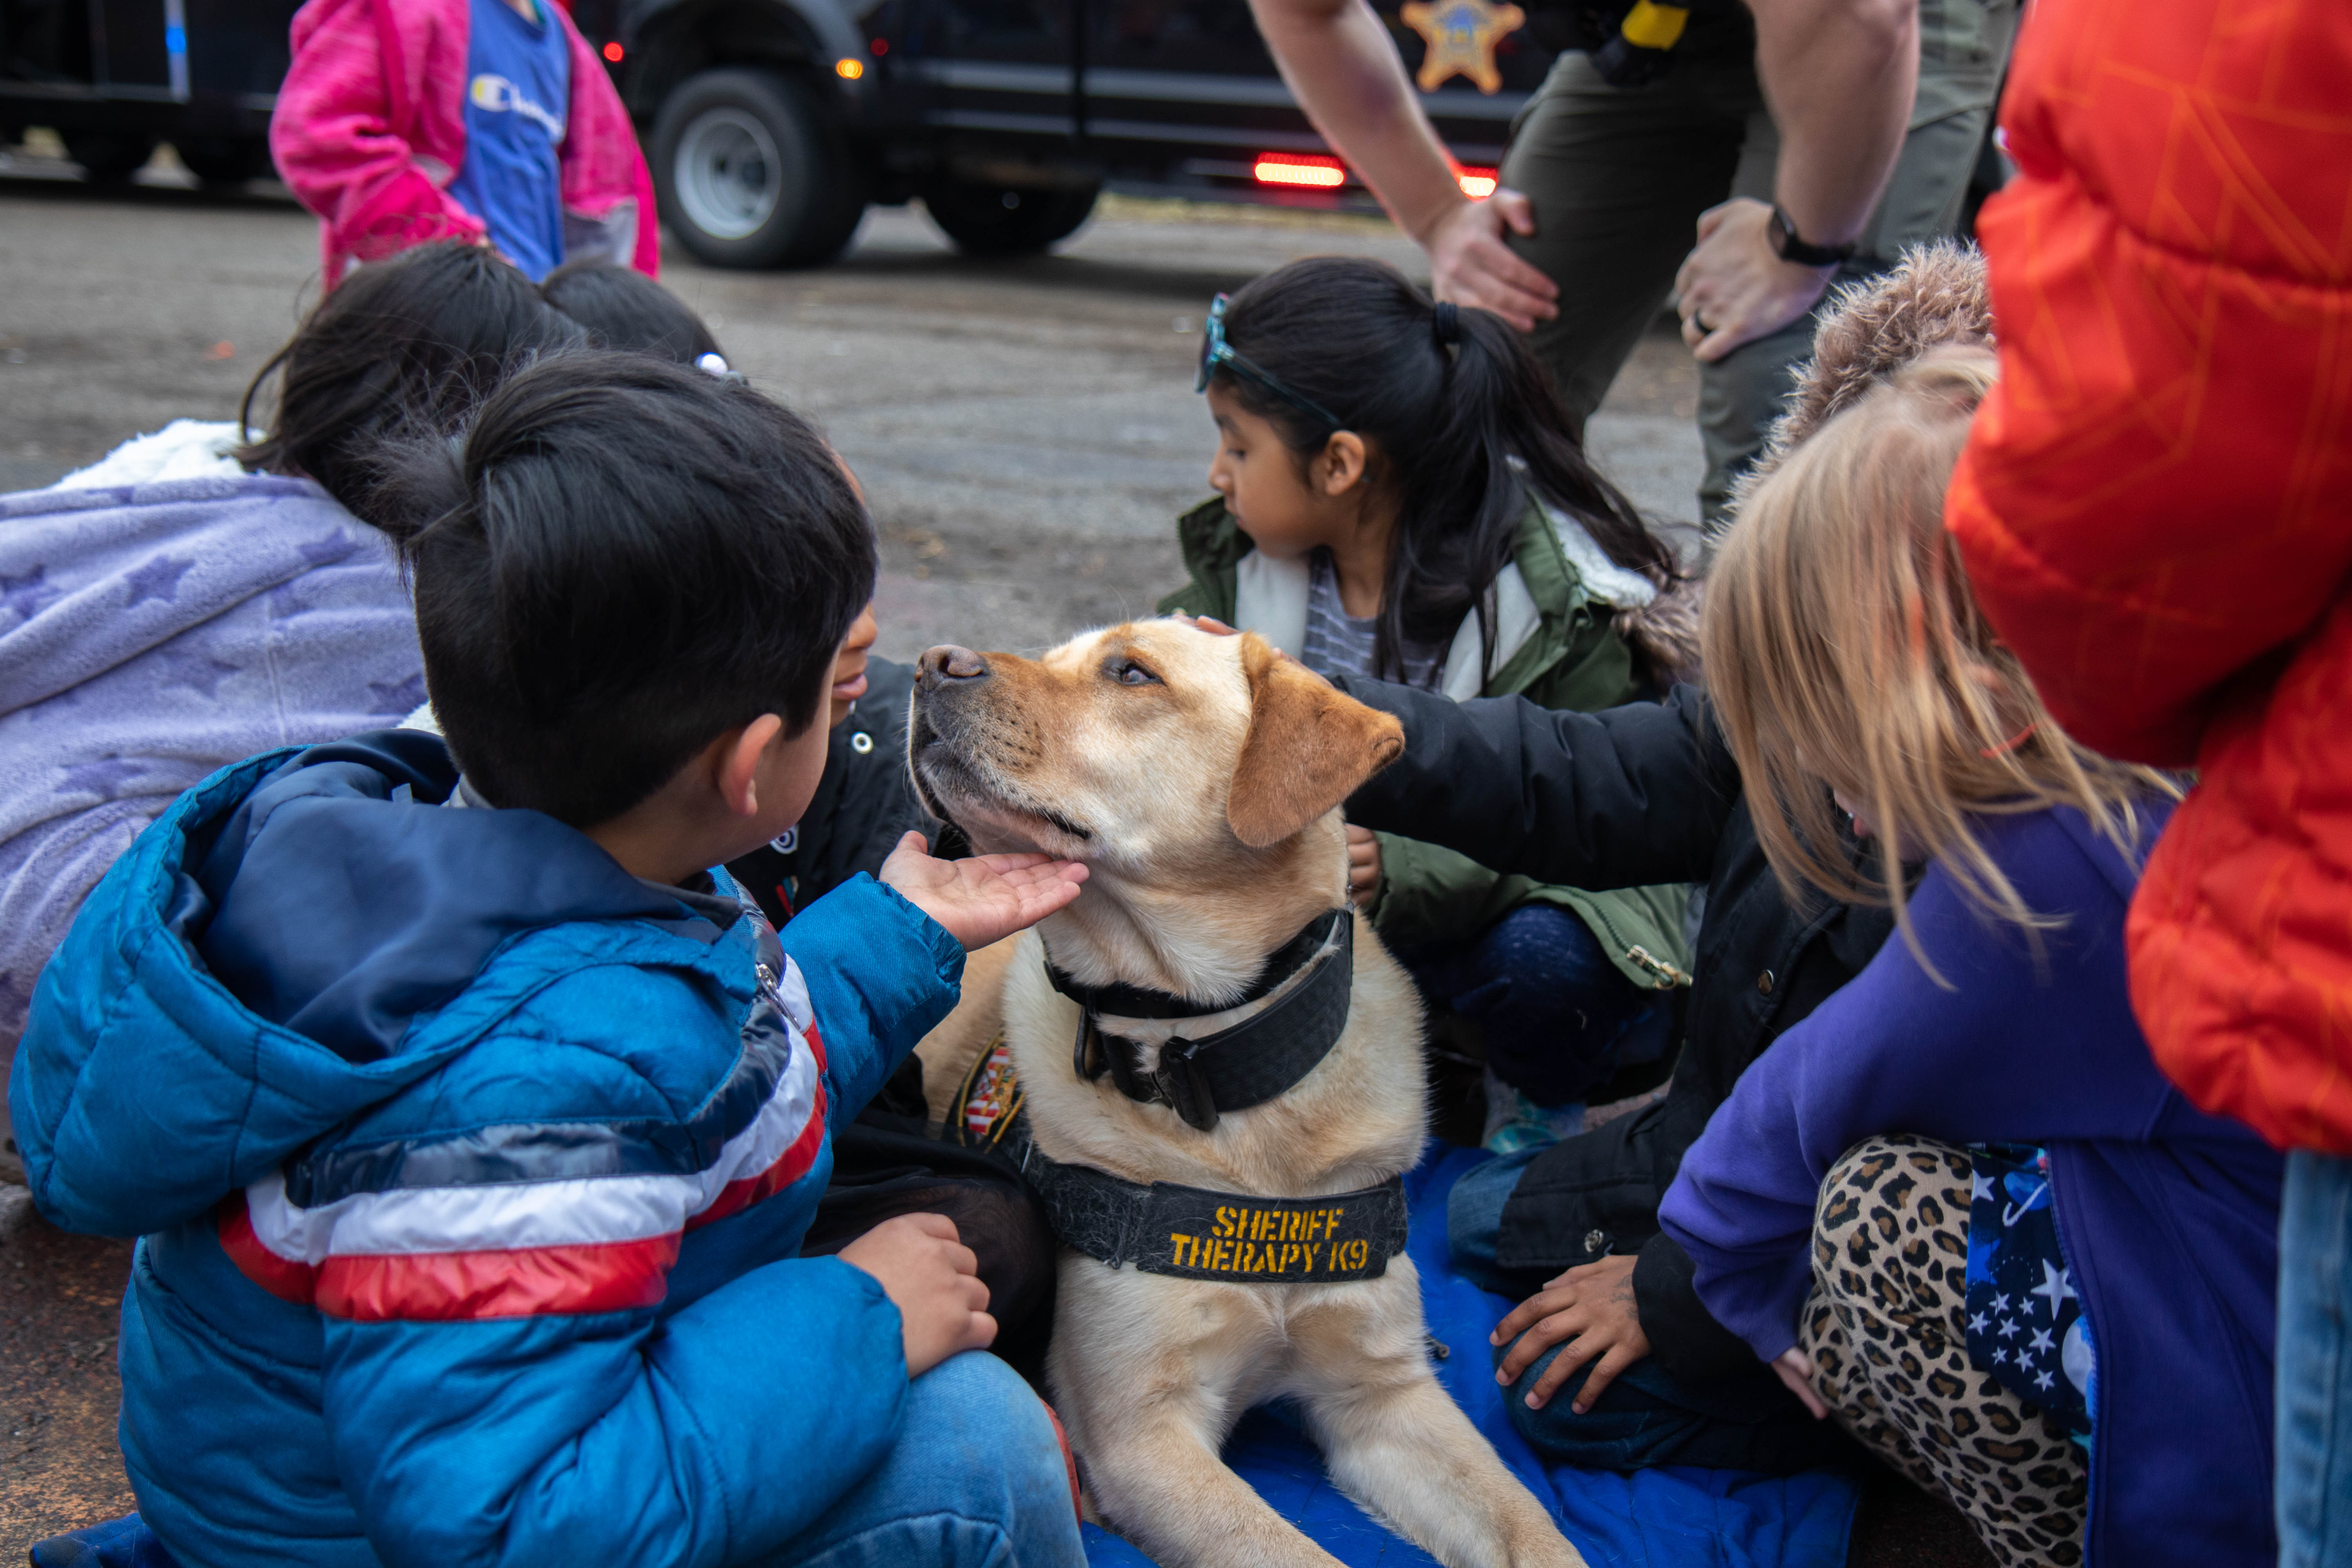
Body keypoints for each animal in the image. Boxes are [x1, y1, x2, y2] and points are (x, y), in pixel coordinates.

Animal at [908, 621, 1590, 1568]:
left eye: (1131, 672)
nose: (930, 663)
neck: (1216, 1076)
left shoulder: (1384, 1394)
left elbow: (1531, 1525)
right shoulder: (1140, 1433)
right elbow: (1296, 1554)